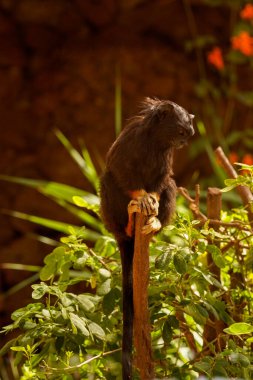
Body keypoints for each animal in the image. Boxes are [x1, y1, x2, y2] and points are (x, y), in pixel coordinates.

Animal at [100, 98, 195, 380]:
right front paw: (141, 195)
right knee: (108, 180)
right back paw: (131, 221)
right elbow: (120, 171)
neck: (156, 141)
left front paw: (151, 197)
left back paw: (153, 223)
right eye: (181, 130)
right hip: (111, 216)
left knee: (171, 185)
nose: (185, 140)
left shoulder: (166, 157)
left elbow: (162, 181)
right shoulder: (130, 142)